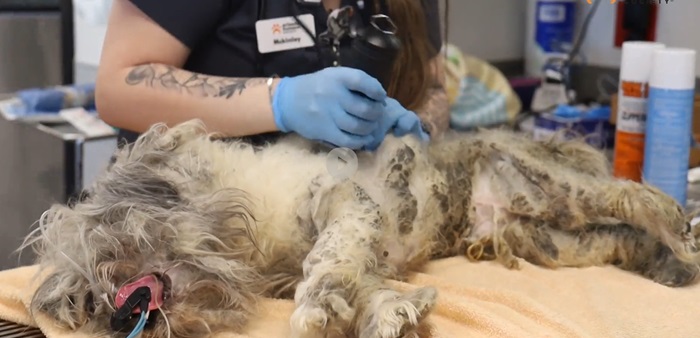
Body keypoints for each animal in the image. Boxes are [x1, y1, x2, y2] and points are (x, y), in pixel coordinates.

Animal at [19, 120, 700, 338]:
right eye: (84, 299)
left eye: (114, 249)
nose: (117, 314)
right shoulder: (362, 250)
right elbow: (367, 285)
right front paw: (394, 314)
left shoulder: (344, 204)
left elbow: (329, 262)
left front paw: (318, 308)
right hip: (553, 242)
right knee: (625, 238)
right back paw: (671, 268)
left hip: (559, 192)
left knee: (633, 197)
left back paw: (683, 233)